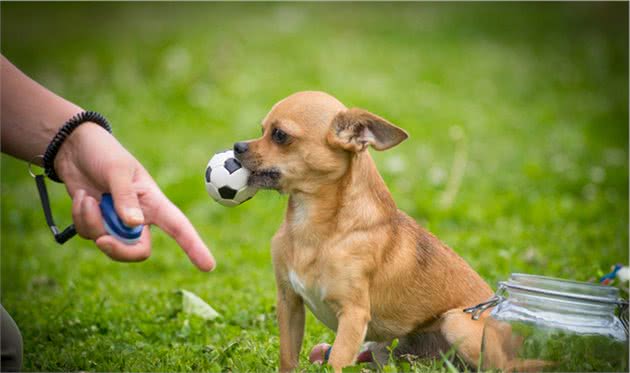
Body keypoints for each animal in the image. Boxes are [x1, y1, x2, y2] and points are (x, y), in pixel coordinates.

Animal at [235, 91, 512, 370]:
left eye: (280, 135)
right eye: (262, 130)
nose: (238, 146)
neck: (312, 226)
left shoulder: (353, 316)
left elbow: (337, 362)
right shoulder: (289, 302)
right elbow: (288, 356)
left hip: (456, 322)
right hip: (387, 349)